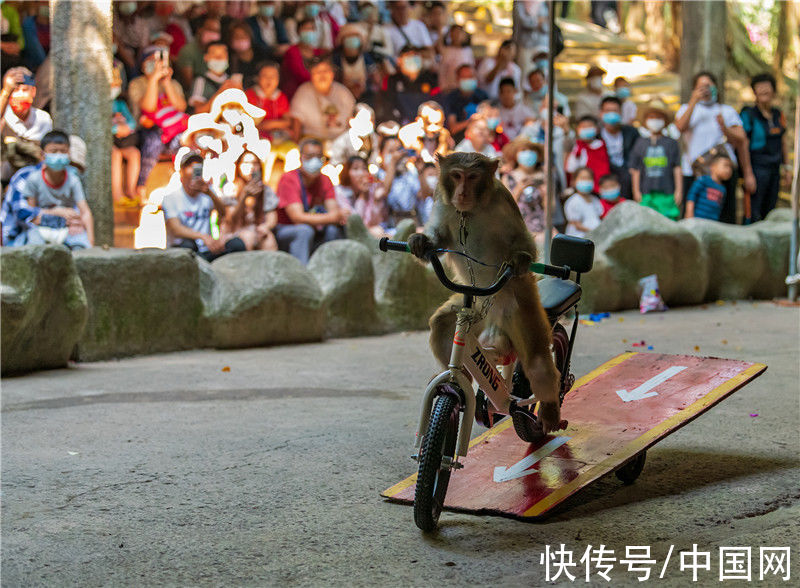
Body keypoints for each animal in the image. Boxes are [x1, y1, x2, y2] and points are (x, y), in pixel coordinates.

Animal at [406, 152, 564, 436]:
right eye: (457, 175)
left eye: (472, 177)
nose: (462, 192)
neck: (470, 211)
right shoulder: (441, 199)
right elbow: (441, 237)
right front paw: (421, 241)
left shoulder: (504, 201)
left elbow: (523, 241)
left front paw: (520, 260)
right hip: (475, 311)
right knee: (442, 324)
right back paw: (463, 376)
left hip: (519, 304)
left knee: (538, 364)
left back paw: (548, 410)